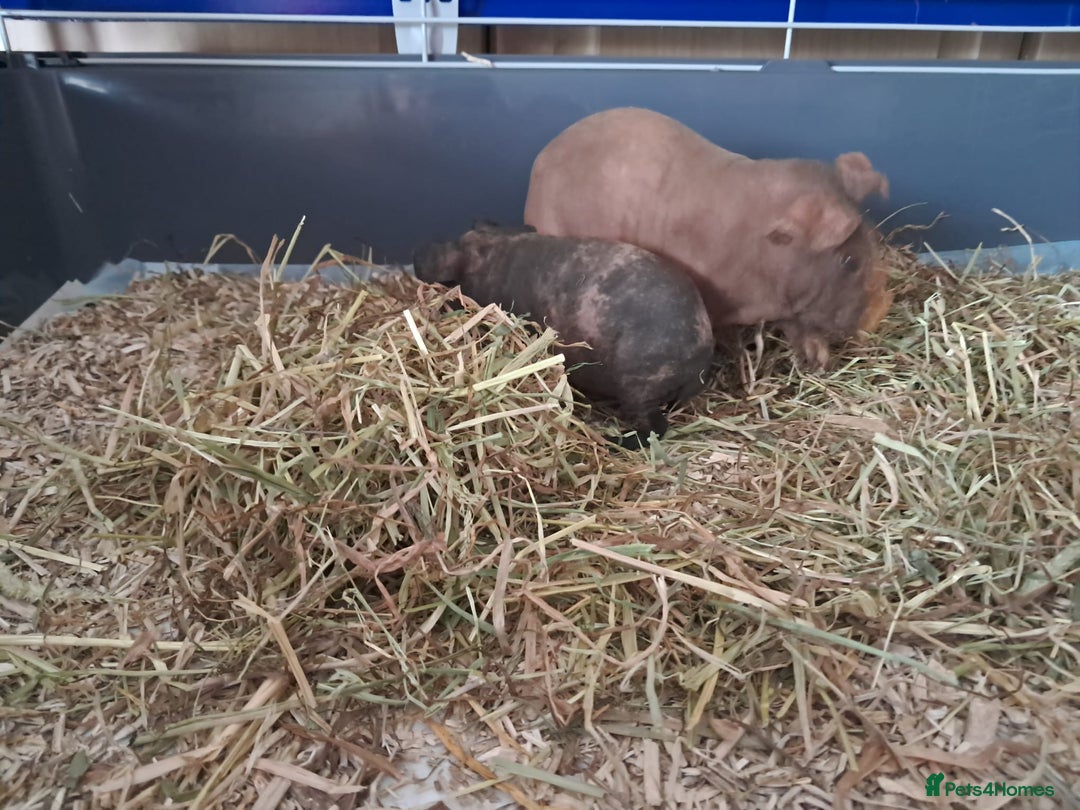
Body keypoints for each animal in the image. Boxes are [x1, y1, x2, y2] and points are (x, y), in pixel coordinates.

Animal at [412, 220, 714, 449]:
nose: (421, 254)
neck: (491, 251)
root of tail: (702, 353)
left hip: (641, 383)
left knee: (656, 427)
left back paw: (613, 442)